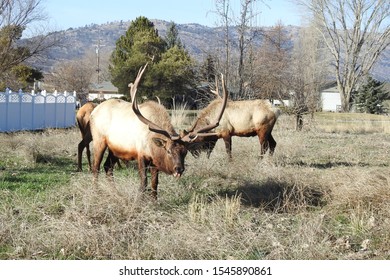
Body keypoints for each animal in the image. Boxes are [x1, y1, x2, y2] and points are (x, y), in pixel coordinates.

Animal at [89, 64, 227, 198]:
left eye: (185, 152)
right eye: (168, 151)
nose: (179, 169)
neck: (152, 146)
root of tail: (93, 111)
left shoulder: (154, 162)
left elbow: (155, 184)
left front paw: (154, 201)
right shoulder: (141, 155)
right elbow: (144, 182)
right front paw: (139, 200)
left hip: (115, 149)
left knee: (107, 167)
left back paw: (115, 193)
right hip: (99, 141)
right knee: (96, 167)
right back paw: (96, 192)